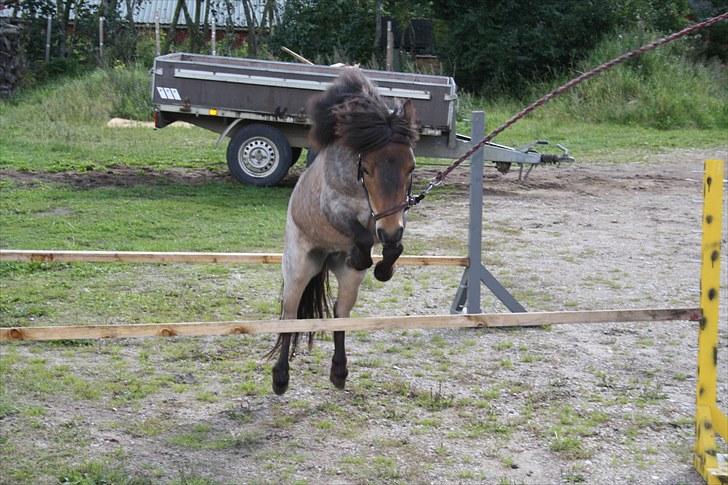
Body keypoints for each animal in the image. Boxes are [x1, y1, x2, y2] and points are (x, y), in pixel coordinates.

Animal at [268, 68, 418, 394]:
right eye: (368, 169)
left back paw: (339, 372)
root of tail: (324, 259)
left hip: (348, 281)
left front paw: (382, 268)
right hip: (297, 269)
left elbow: (392, 247)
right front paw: (363, 257)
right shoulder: (333, 209)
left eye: (410, 168)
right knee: (290, 314)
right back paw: (280, 378)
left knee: (340, 312)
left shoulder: (390, 219)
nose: (390, 231)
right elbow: (360, 235)